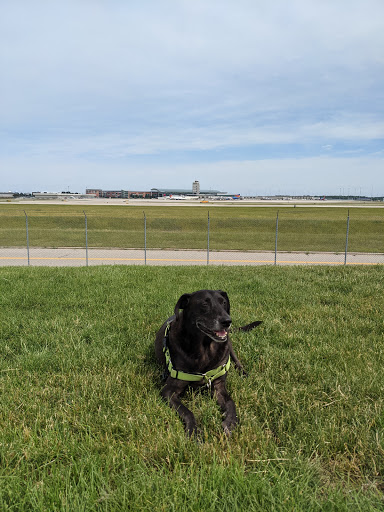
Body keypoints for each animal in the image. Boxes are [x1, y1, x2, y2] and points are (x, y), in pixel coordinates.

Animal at [154, 288, 262, 436]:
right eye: (205, 304)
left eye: (223, 303)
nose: (227, 321)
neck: (205, 349)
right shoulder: (169, 391)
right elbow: (187, 411)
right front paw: (194, 430)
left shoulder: (218, 386)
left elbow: (231, 403)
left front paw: (231, 422)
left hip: (229, 343)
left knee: (235, 359)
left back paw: (243, 372)